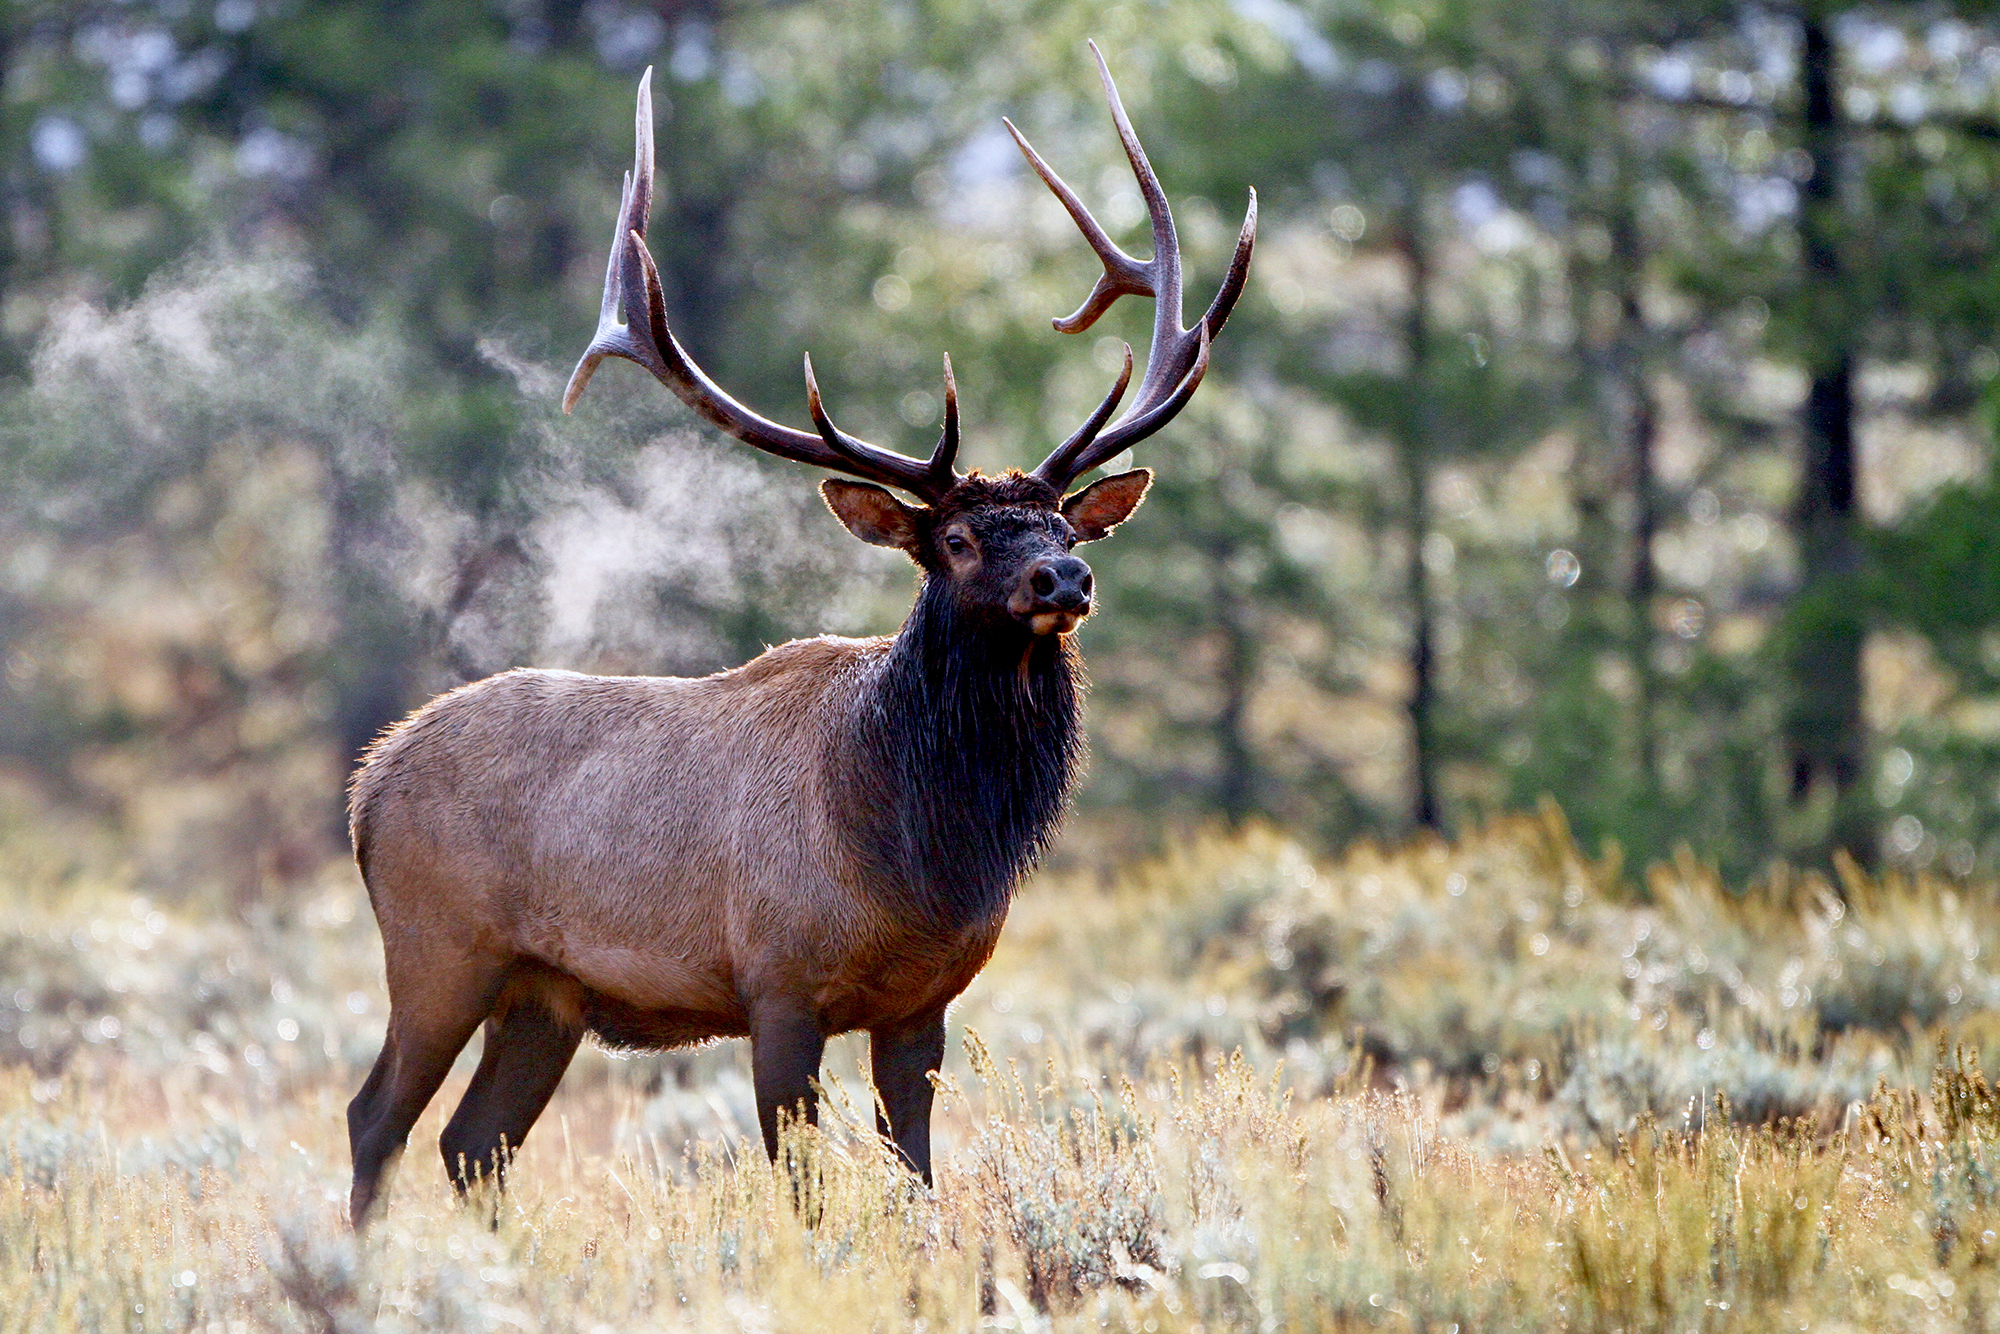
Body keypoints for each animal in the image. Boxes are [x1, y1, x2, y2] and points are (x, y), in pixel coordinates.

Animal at [344, 47, 1248, 1224]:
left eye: (1059, 523)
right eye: (957, 537)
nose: (1066, 575)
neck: (924, 852)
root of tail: (366, 784)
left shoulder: (922, 1001)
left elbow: (916, 1177)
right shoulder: (776, 983)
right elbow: (803, 1185)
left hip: (545, 992)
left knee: (472, 1142)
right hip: (440, 948)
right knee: (378, 1118)